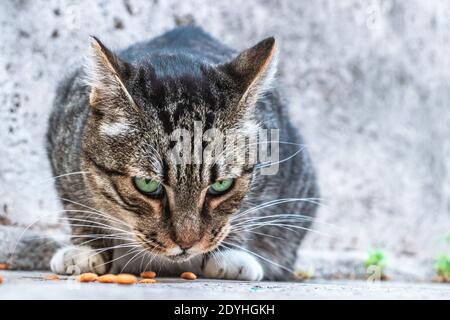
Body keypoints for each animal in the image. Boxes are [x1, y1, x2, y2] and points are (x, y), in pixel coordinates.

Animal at [47, 26, 318, 280]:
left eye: (222, 185)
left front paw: (230, 254)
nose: (187, 243)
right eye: (147, 184)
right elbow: (78, 207)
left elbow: (247, 211)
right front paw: (85, 248)